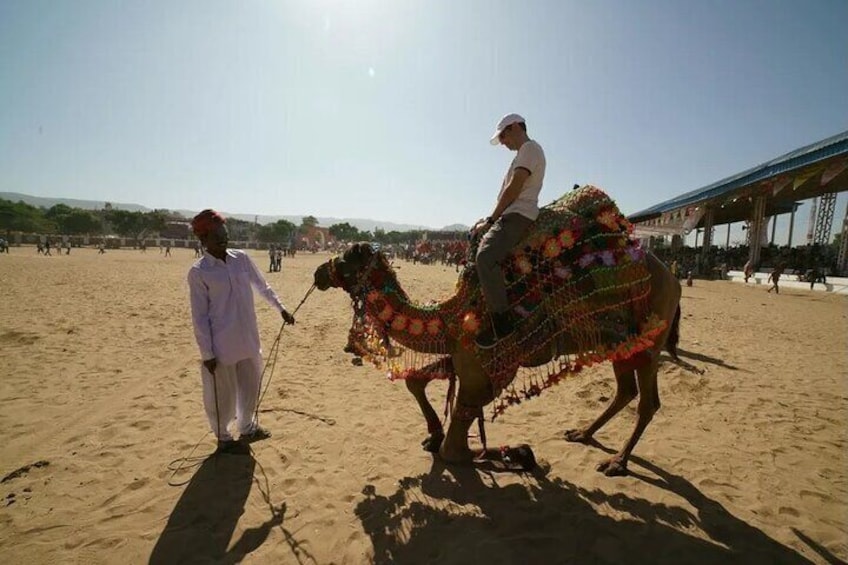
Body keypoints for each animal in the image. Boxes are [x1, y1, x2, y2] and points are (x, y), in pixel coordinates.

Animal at [312, 187, 684, 474]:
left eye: (346, 257)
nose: (318, 273)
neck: (452, 314)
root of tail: (673, 277)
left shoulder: (489, 370)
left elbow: (455, 450)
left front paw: (519, 453)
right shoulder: (463, 356)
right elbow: (417, 382)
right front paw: (433, 433)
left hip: (650, 338)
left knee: (648, 401)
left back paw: (617, 462)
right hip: (623, 341)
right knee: (626, 391)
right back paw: (582, 434)